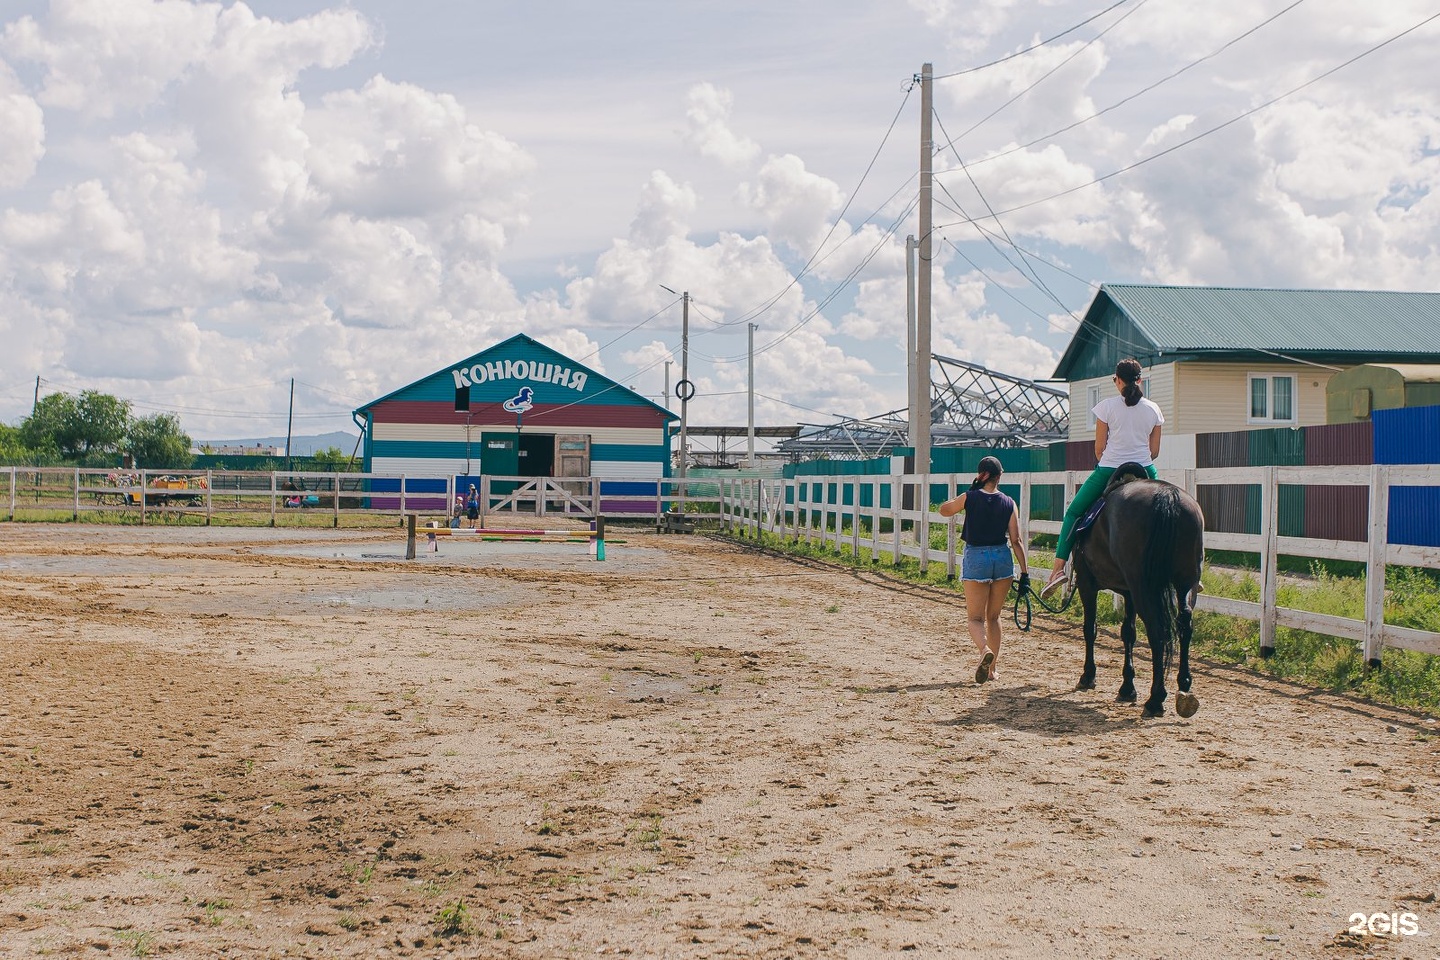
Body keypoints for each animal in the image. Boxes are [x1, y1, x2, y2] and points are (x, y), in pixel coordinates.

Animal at [1071, 466, 1203, 719]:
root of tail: (1167, 496)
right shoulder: (1129, 592)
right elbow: (1128, 633)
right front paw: (1127, 687)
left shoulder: (1086, 583)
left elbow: (1090, 629)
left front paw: (1088, 675)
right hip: (1185, 582)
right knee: (1185, 624)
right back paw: (1184, 686)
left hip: (1143, 586)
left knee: (1157, 631)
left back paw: (1156, 699)